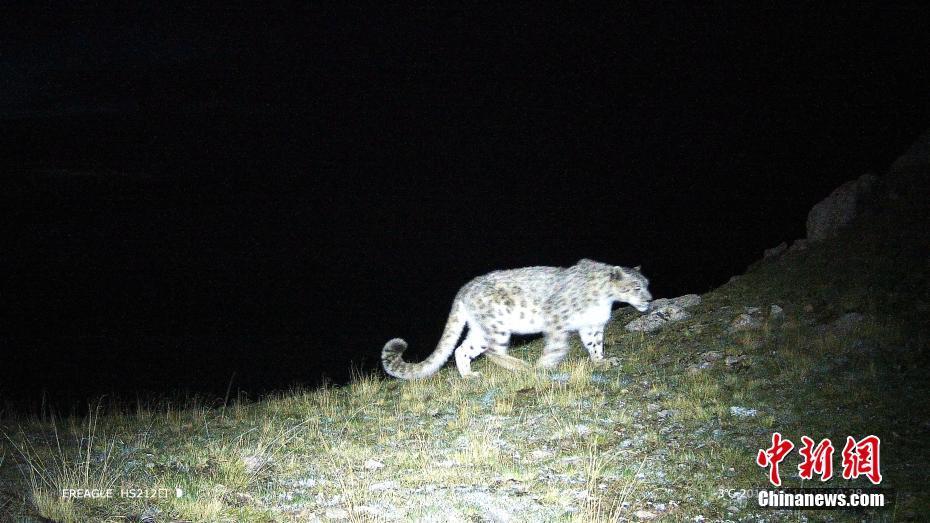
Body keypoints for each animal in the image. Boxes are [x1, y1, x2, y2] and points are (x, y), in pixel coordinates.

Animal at [380, 258, 648, 378]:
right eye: (636, 287)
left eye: (646, 284)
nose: (648, 298)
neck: (605, 300)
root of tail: (465, 288)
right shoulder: (557, 320)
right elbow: (557, 346)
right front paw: (545, 366)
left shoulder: (593, 325)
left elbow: (595, 345)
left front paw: (602, 362)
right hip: (497, 325)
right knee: (493, 351)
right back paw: (523, 367)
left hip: (480, 330)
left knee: (462, 349)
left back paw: (469, 375)